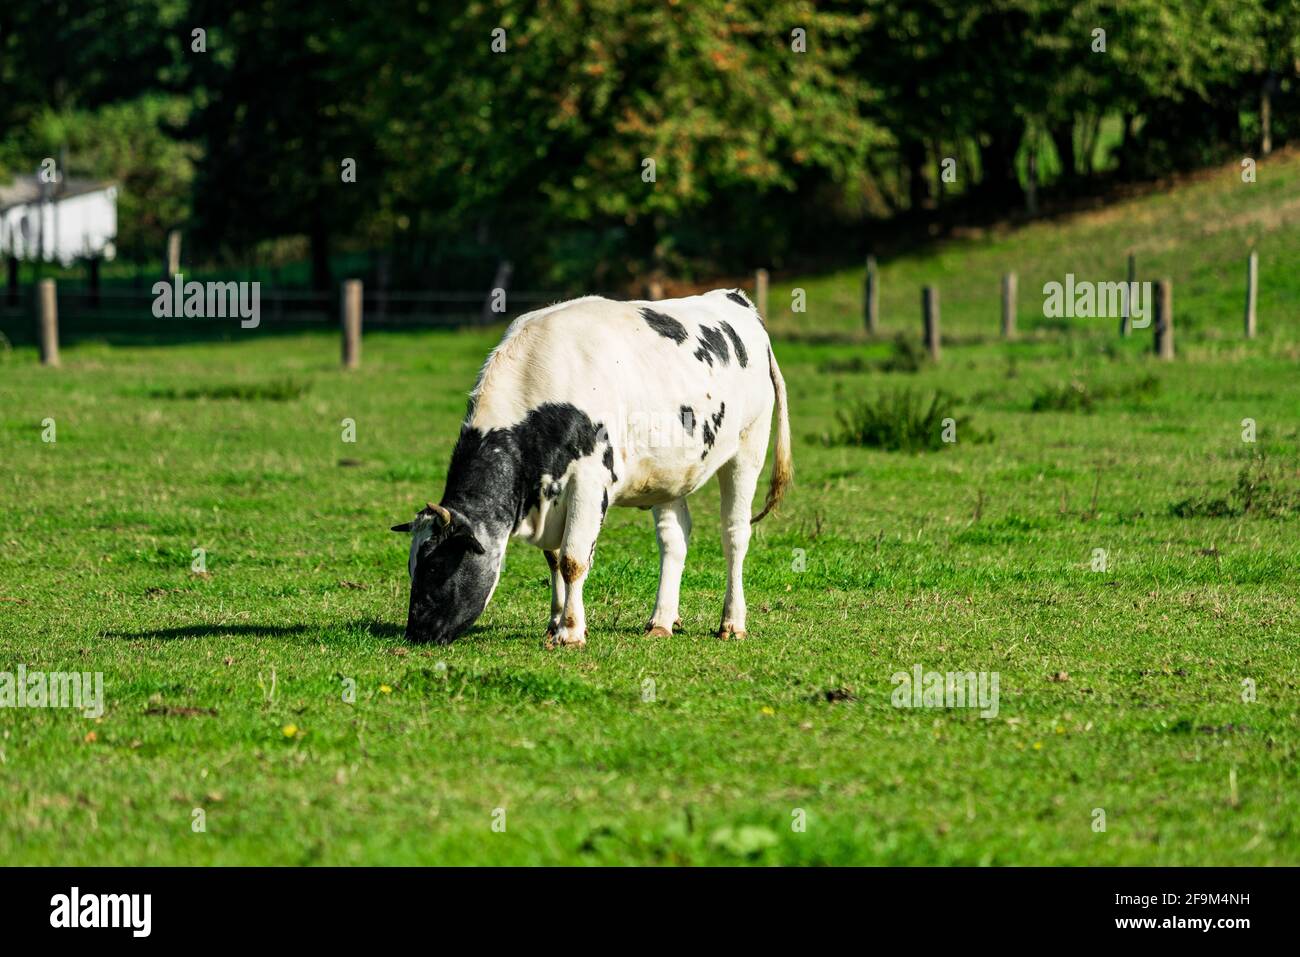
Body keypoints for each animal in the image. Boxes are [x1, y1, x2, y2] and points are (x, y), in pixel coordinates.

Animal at [390, 288, 792, 647]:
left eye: (435, 565)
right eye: (412, 565)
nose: (416, 632)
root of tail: (735, 298)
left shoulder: (589, 481)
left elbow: (572, 559)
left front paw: (570, 632)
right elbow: (553, 559)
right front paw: (553, 624)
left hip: (748, 448)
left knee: (734, 534)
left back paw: (732, 623)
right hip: (669, 471)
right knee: (674, 539)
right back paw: (661, 622)